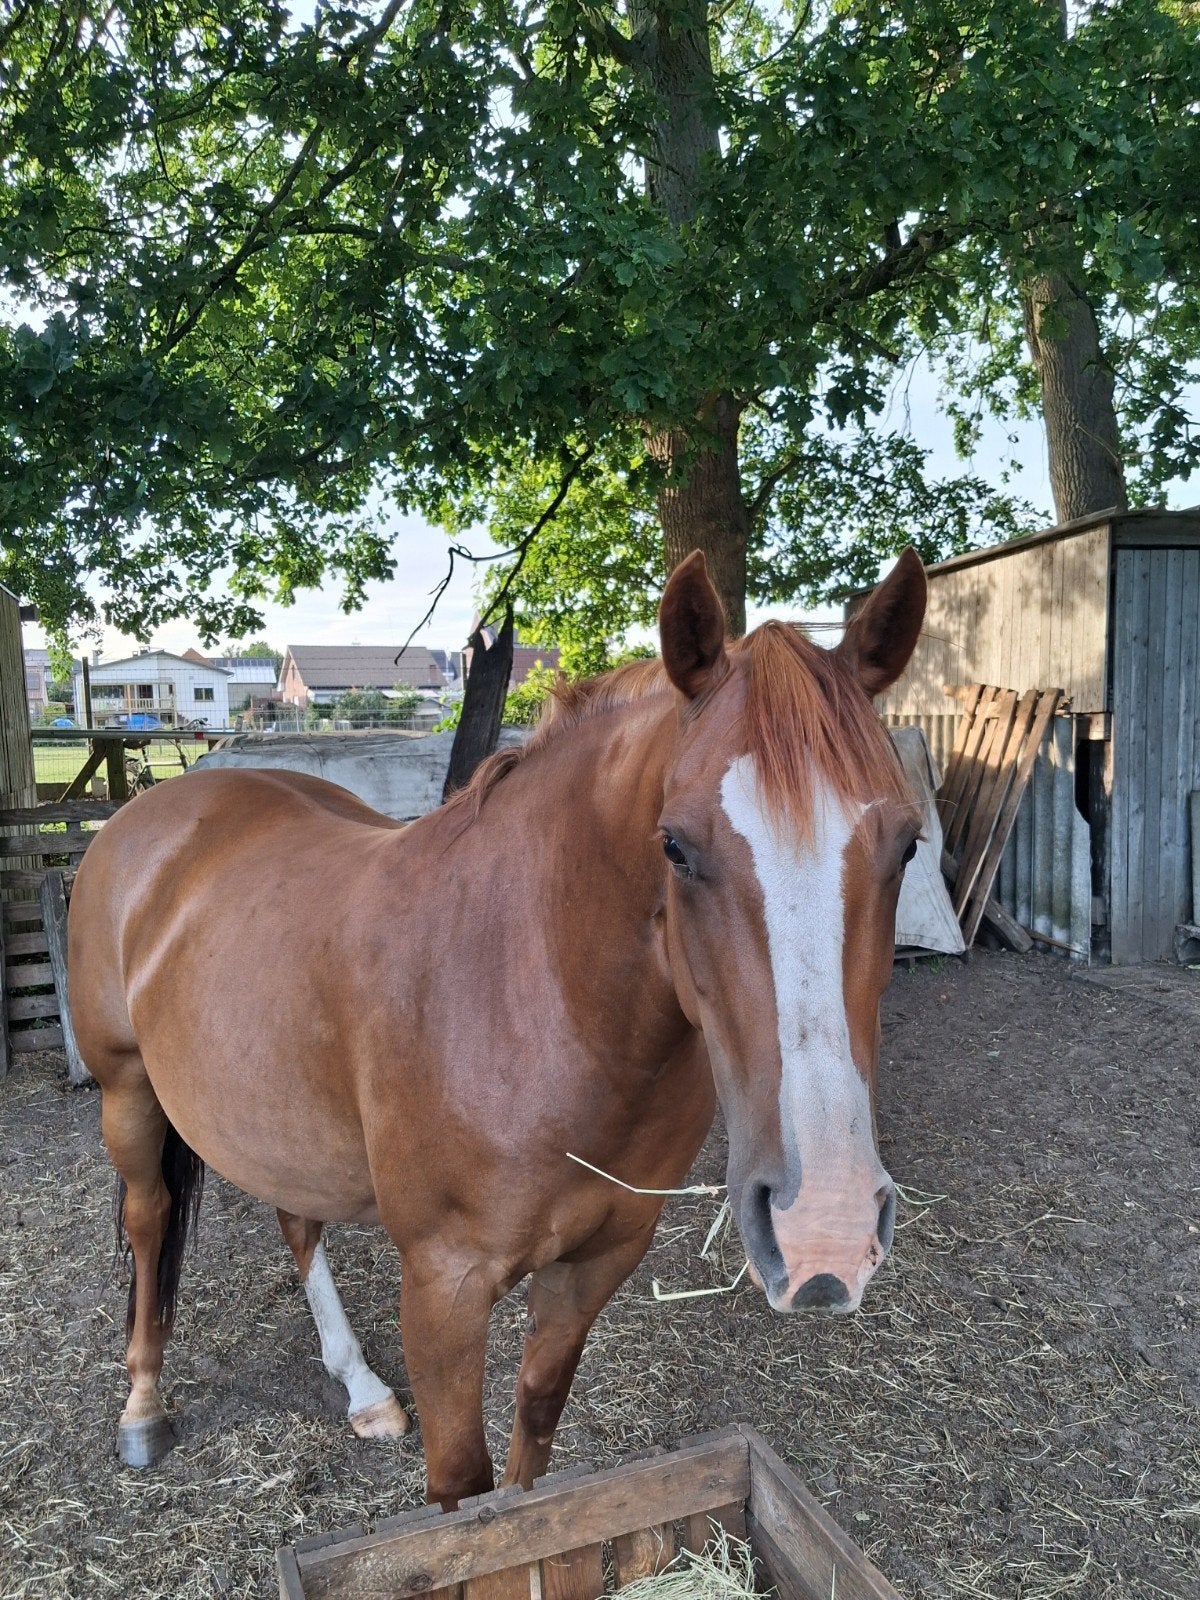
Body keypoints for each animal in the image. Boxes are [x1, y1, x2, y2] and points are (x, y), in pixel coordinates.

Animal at [68, 547, 927, 1507]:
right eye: (674, 845)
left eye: (908, 845)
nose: (825, 1227)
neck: (533, 998)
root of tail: (163, 807)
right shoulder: (443, 1287)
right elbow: (463, 1489)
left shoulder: (596, 1263)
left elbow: (535, 1437)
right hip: (127, 1093)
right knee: (149, 1219)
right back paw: (143, 1404)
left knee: (297, 1218)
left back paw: (360, 1386)